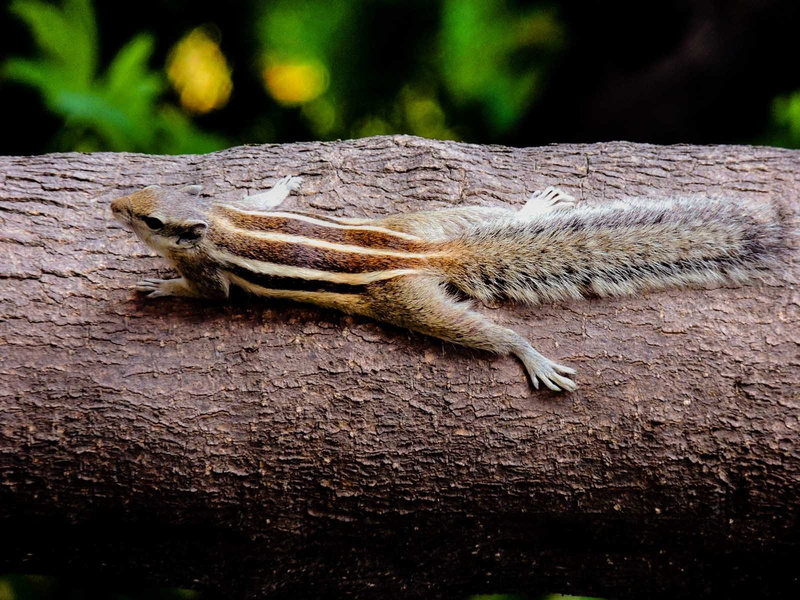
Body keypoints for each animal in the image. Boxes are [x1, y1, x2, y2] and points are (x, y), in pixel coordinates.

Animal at [110, 176, 784, 392]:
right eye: (143, 192)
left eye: (149, 221)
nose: (113, 205)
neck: (214, 222)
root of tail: (434, 252)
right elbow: (264, 199)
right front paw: (281, 185)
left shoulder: (213, 272)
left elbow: (211, 293)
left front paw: (161, 287)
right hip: (430, 218)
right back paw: (534, 206)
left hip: (410, 303)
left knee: (485, 333)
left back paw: (530, 356)